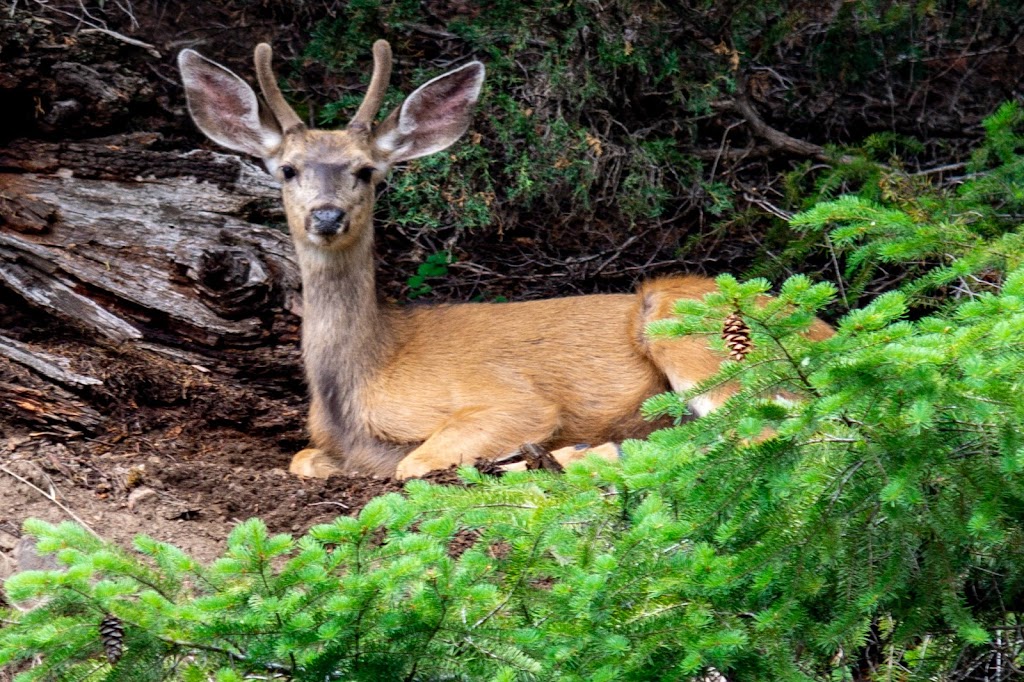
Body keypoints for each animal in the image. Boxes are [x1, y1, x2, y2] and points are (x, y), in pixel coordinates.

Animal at [176, 41, 831, 477]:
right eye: (287, 169)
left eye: (366, 171)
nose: (328, 216)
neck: (360, 376)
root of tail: (824, 330)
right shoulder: (328, 446)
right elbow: (304, 460)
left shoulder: (509, 399)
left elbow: (412, 466)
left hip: (698, 335)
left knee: (782, 431)